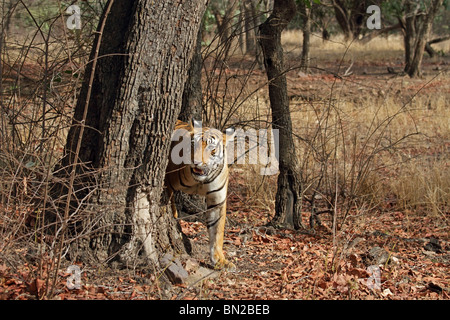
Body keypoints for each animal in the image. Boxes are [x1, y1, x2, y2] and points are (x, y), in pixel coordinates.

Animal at [164, 119, 236, 270]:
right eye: (193, 145)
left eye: (211, 149)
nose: (196, 162)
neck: (201, 180)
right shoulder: (167, 178)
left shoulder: (217, 201)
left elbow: (217, 231)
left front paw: (220, 260)